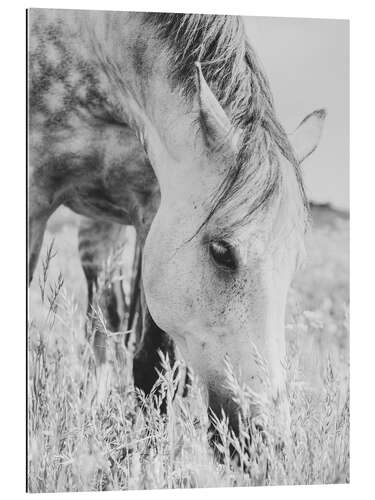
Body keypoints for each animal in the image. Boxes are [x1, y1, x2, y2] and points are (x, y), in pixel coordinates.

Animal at [27, 8, 326, 438]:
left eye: (295, 264)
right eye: (221, 252)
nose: (264, 437)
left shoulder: (154, 209)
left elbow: (151, 362)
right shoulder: (33, 197)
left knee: (106, 323)